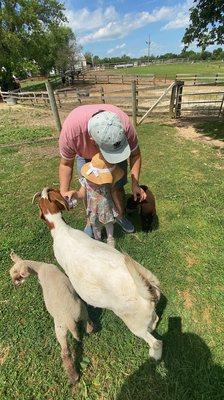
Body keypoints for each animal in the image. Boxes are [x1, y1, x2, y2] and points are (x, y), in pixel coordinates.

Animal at [9, 250, 93, 384]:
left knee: (65, 351)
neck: (40, 267)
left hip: (60, 327)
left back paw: (73, 377)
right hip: (81, 311)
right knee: (88, 324)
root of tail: (69, 318)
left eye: (18, 274)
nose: (14, 283)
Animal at [32, 188, 163, 360]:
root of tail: (148, 291)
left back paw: (154, 354)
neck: (61, 229)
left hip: (135, 324)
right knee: (155, 320)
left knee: (156, 342)